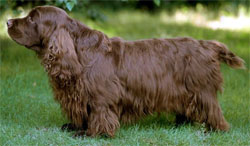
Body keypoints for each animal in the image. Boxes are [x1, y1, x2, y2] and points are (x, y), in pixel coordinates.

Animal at [7, 5, 244, 136]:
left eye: (32, 18)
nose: (8, 21)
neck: (78, 52)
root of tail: (208, 44)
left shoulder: (101, 96)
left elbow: (100, 114)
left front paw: (91, 134)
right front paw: (75, 127)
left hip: (201, 89)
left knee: (214, 112)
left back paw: (214, 129)